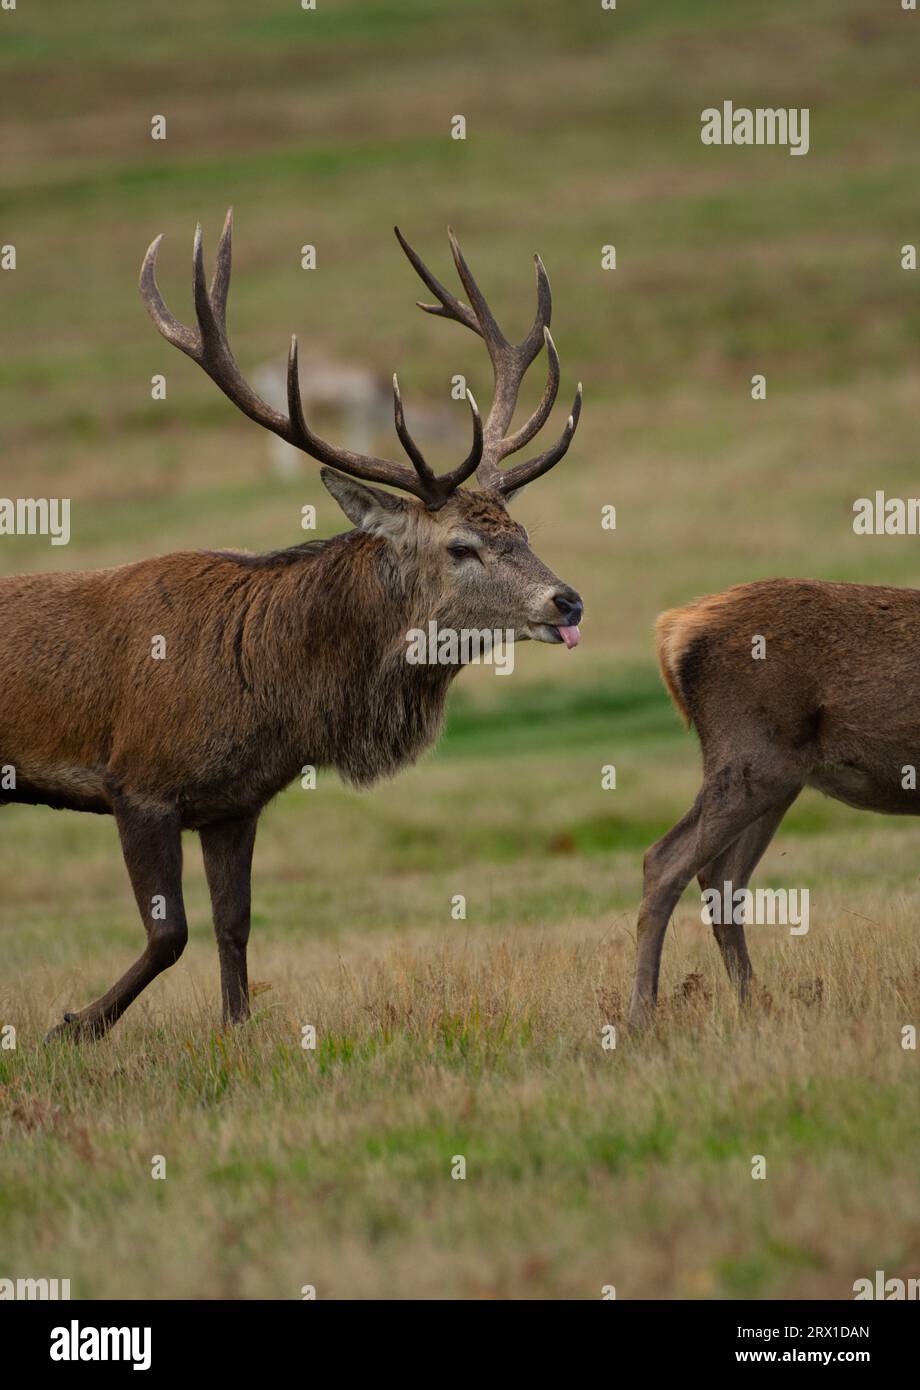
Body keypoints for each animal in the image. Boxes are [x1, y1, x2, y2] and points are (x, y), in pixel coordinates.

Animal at [2, 210, 584, 1041]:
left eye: (522, 530)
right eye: (461, 546)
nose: (567, 602)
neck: (269, 688)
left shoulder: (234, 802)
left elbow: (235, 926)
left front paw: (236, 1033)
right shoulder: (137, 778)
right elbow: (169, 933)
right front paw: (74, 1025)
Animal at [629, 577, 920, 1025]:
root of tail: (674, 630)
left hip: (776, 780)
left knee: (722, 877)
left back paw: (755, 1004)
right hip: (753, 759)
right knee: (664, 859)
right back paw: (641, 1018)